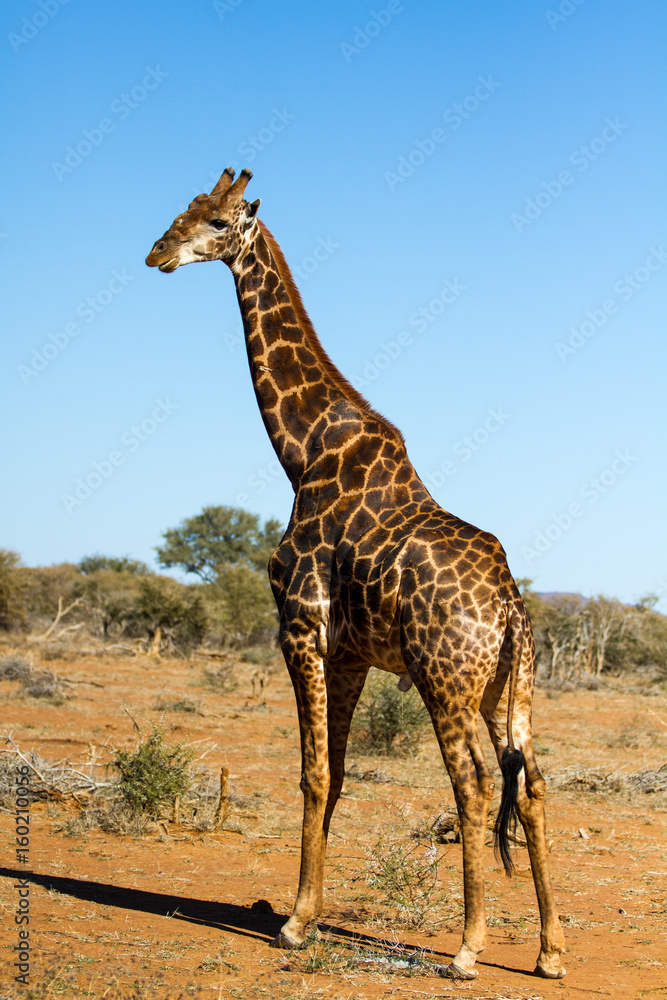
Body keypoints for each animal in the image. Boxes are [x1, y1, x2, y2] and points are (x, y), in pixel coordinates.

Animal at [145, 167, 566, 981]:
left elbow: (312, 772)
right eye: (183, 210)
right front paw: (306, 912)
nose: (157, 253)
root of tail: (510, 608)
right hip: (505, 686)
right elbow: (335, 774)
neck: (300, 451)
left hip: (444, 678)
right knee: (528, 782)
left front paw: (293, 924)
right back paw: (551, 950)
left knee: (472, 782)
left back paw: (468, 948)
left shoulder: (299, 627)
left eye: (216, 221)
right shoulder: (348, 653)